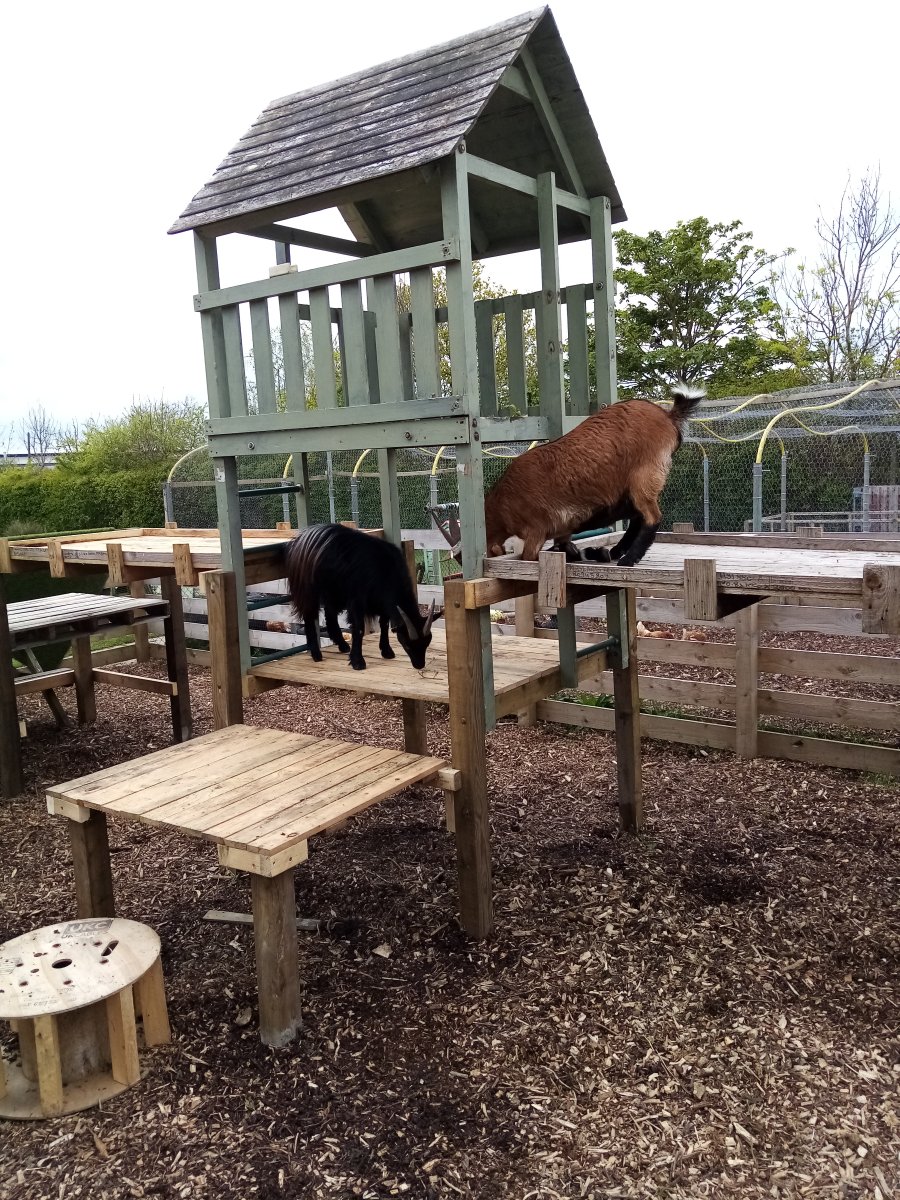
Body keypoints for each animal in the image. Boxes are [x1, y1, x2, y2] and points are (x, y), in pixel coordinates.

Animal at [284, 523, 437, 671]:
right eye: (407, 644)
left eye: (427, 643)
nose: (419, 665)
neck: (385, 569)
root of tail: (301, 538)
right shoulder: (357, 600)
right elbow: (359, 628)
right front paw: (357, 662)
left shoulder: (382, 602)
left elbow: (384, 624)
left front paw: (386, 651)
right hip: (309, 589)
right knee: (309, 615)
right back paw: (316, 654)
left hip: (333, 592)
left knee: (330, 613)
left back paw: (342, 645)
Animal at [484, 384, 705, 567]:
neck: (502, 502)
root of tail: (669, 416)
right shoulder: (562, 528)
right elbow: (565, 548)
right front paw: (594, 552)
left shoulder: (536, 529)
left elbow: (532, 556)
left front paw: (595, 553)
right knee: (638, 516)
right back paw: (616, 551)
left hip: (644, 476)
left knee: (652, 517)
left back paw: (628, 559)